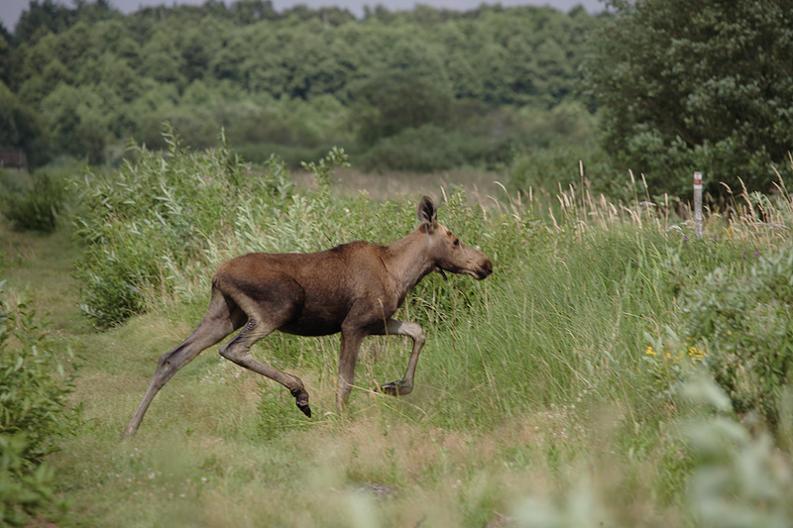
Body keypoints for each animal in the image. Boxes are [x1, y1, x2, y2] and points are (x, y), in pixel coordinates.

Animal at [124, 196, 492, 436]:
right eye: (455, 240)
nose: (486, 264)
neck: (401, 273)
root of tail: (216, 275)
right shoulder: (353, 324)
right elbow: (345, 381)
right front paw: (342, 421)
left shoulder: (377, 321)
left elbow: (417, 331)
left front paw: (394, 386)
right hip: (276, 308)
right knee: (234, 349)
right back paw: (300, 392)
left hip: (224, 314)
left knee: (172, 357)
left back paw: (130, 428)